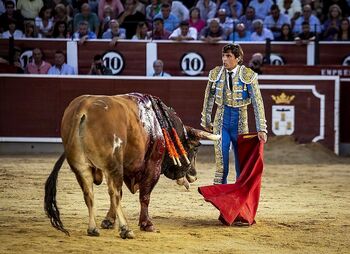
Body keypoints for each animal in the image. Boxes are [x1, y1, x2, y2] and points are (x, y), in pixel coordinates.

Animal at [44, 93, 219, 238]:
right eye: (195, 148)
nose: (194, 175)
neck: (159, 123)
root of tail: (83, 108)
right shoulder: (153, 166)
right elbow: (144, 196)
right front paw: (147, 224)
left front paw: (108, 221)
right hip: (113, 165)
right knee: (114, 193)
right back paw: (125, 229)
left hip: (81, 167)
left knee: (90, 194)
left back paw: (93, 229)